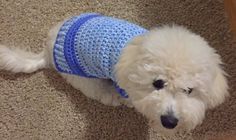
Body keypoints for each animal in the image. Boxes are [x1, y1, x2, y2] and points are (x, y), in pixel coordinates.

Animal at [0, 13, 229, 133]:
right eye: (157, 83)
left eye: (189, 90)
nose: (170, 122)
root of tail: (48, 51)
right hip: (85, 79)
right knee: (101, 93)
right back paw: (112, 98)